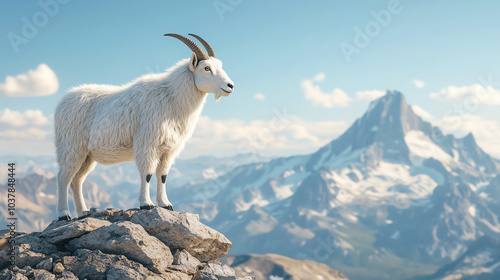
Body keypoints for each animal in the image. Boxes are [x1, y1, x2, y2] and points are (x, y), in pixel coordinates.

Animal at [54, 33, 234, 221]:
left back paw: (83, 212)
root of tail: (61, 104)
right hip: (71, 147)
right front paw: (146, 204)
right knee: (63, 177)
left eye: (220, 65)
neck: (171, 98)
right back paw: (64, 214)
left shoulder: (168, 150)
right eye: (206, 68)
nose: (230, 86)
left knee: (77, 180)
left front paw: (166, 204)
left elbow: (162, 175)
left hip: (87, 155)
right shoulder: (147, 144)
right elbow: (147, 174)